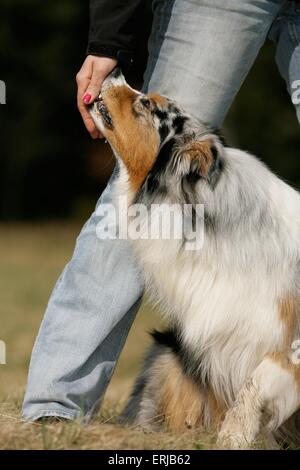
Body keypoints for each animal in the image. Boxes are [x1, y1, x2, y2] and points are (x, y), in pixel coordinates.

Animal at [89, 68, 300, 450]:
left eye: (147, 104)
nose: (113, 71)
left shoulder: (285, 338)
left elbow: (254, 384)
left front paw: (233, 436)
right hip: (166, 354)